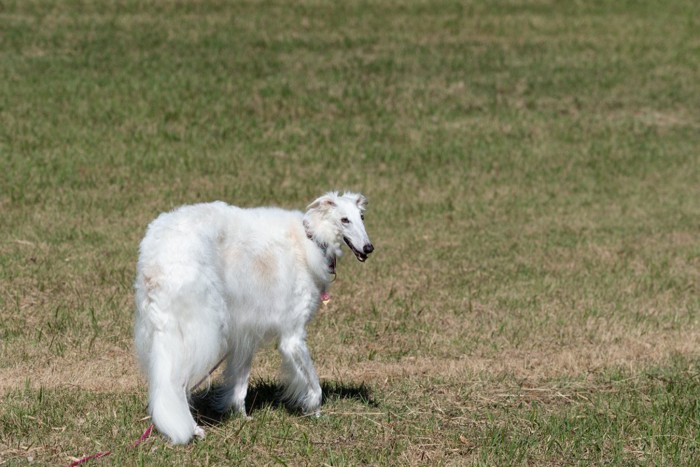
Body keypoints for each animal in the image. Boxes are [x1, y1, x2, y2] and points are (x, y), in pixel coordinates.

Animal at [132, 192, 372, 444]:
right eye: (345, 220)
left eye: (362, 217)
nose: (369, 248)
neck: (310, 237)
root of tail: (156, 260)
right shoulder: (293, 337)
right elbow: (314, 386)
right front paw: (316, 413)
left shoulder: (245, 333)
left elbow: (239, 384)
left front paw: (241, 416)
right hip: (203, 332)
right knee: (179, 385)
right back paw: (193, 429)